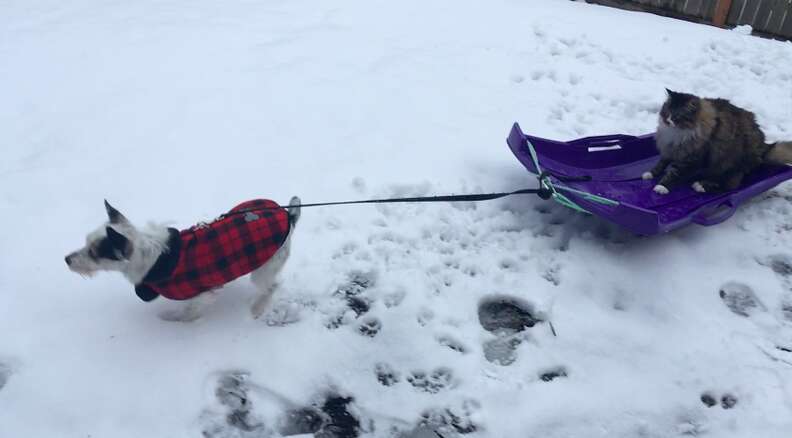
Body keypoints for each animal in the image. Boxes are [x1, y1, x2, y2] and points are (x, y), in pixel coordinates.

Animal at [63, 198, 300, 322]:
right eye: (86, 243)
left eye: (94, 253)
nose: (66, 259)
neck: (153, 258)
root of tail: (287, 215)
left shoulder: (203, 292)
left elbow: (188, 313)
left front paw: (170, 318)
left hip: (265, 268)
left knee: (272, 286)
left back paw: (258, 308)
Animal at [644, 89, 792, 195]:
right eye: (667, 112)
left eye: (677, 116)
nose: (667, 121)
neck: (677, 134)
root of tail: (763, 146)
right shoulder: (670, 148)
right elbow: (661, 163)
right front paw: (650, 174)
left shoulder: (691, 159)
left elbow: (673, 173)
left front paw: (661, 186)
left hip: (730, 163)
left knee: (729, 184)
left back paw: (700, 185)